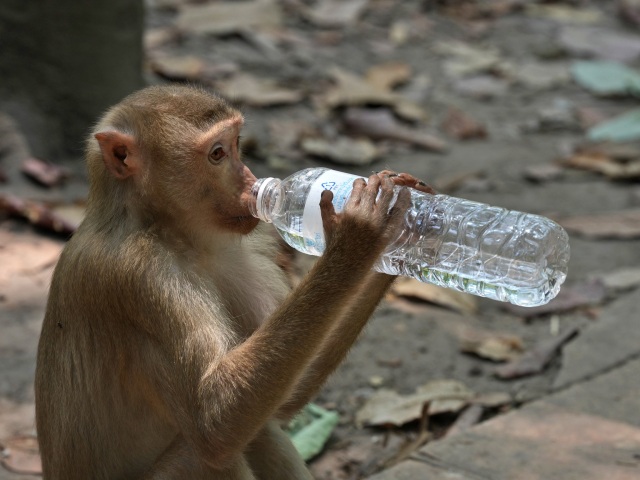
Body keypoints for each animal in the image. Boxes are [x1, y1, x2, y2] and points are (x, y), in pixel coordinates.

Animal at [34, 84, 433, 479]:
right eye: (217, 154)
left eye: (237, 143)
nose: (251, 180)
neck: (170, 231)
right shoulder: (139, 274)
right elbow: (216, 420)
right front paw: (358, 235)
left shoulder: (247, 251)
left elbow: (284, 398)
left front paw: (405, 234)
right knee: (211, 452)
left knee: (260, 432)